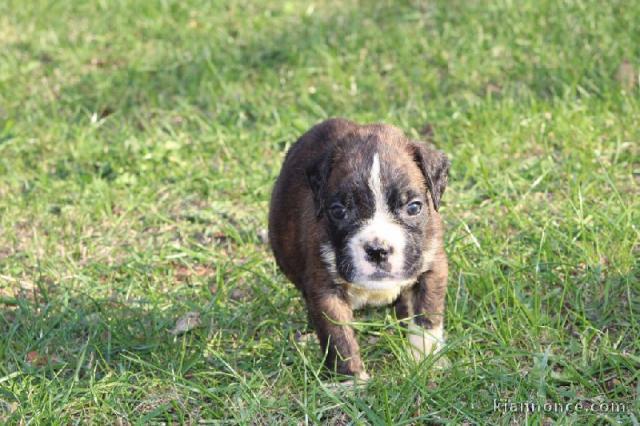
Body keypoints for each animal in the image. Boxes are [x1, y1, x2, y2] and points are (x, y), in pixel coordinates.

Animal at [266, 117, 450, 380]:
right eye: (338, 211)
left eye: (414, 207)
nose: (378, 250)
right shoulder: (326, 290)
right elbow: (339, 338)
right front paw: (351, 380)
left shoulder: (432, 267)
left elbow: (427, 317)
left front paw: (425, 361)